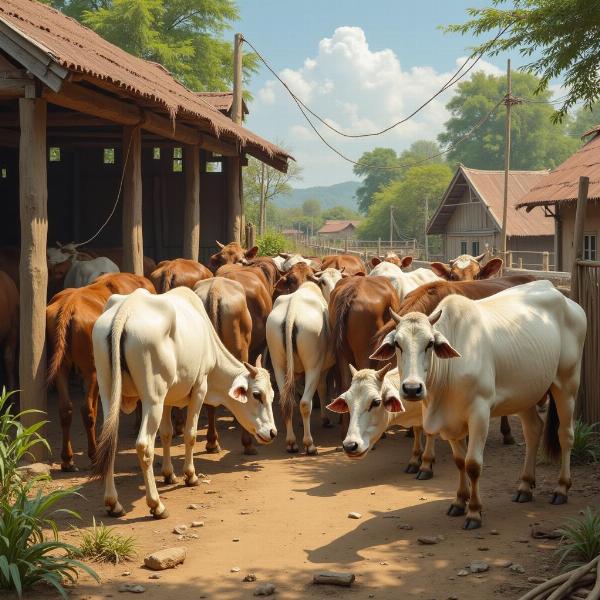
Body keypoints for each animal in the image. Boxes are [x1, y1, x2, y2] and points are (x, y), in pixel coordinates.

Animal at [47, 274, 156, 474]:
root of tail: (68, 306)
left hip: (62, 366)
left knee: (66, 408)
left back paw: (67, 460)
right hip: (92, 370)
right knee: (87, 409)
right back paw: (93, 455)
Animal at [92, 288, 278, 516]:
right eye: (257, 395)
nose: (272, 432)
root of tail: (126, 308)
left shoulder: (167, 399)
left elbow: (167, 433)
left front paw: (169, 474)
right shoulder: (199, 388)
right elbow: (190, 434)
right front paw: (190, 476)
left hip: (109, 393)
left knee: (108, 442)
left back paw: (113, 503)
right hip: (152, 399)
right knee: (144, 446)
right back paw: (156, 505)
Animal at [266, 284, 336, 452]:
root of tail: (292, 310)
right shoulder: (323, 369)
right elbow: (322, 389)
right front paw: (325, 419)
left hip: (278, 362)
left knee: (286, 402)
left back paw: (291, 441)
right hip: (313, 365)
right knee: (305, 403)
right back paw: (309, 444)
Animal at [370, 278, 584, 528]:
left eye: (430, 343)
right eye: (397, 344)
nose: (412, 389)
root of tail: (560, 294)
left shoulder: (479, 414)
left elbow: (473, 464)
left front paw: (474, 511)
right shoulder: (450, 420)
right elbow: (460, 461)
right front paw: (459, 502)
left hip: (567, 383)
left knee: (565, 435)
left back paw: (561, 488)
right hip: (525, 393)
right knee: (533, 431)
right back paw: (524, 486)